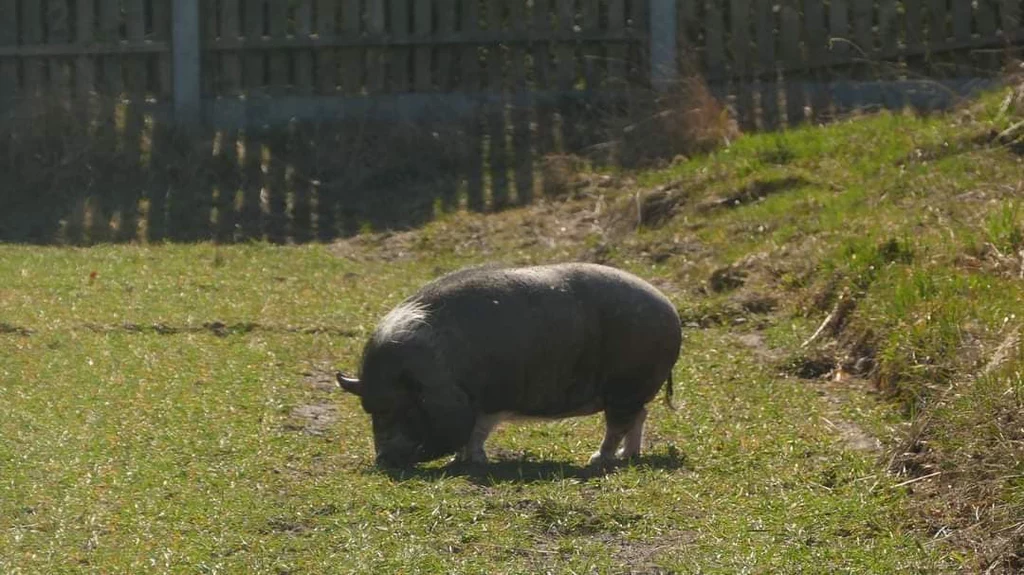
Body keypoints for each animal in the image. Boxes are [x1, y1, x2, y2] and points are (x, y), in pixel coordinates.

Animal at [335, 261, 679, 468]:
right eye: (369, 410)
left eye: (397, 408)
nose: (383, 459)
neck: (439, 371)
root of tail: (671, 312)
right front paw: (462, 460)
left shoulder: (490, 399)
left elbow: (478, 431)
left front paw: (473, 462)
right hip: (631, 392)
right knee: (639, 416)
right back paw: (628, 456)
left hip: (625, 387)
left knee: (617, 425)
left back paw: (598, 459)